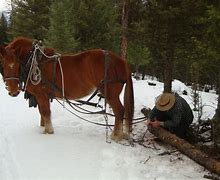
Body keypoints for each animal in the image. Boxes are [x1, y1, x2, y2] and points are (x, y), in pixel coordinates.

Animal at [0, 37, 134, 141]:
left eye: (16, 64)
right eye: (3, 65)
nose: (13, 91)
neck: (35, 61)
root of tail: (122, 61)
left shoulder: (41, 95)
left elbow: (45, 112)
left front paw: (48, 131)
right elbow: (42, 113)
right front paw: (43, 127)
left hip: (110, 93)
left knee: (119, 111)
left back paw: (116, 136)